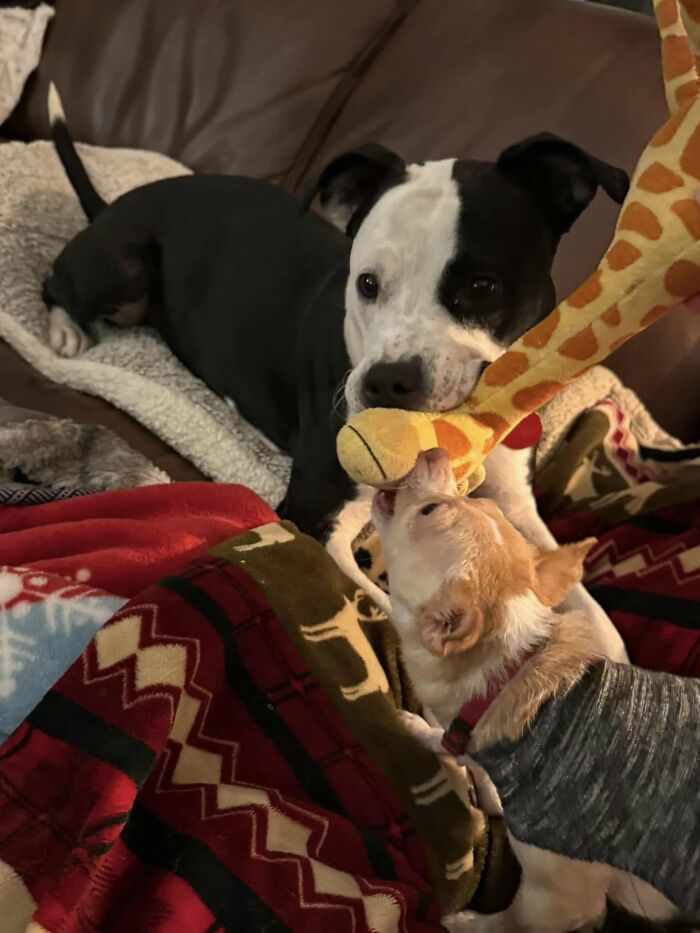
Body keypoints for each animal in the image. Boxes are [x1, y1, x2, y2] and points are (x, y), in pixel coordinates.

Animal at [46, 87, 632, 656]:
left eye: (482, 286)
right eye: (367, 283)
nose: (387, 381)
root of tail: (118, 203)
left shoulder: (514, 504)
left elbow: (594, 613)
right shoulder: (316, 515)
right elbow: (394, 610)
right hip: (123, 264)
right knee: (56, 281)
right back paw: (65, 329)